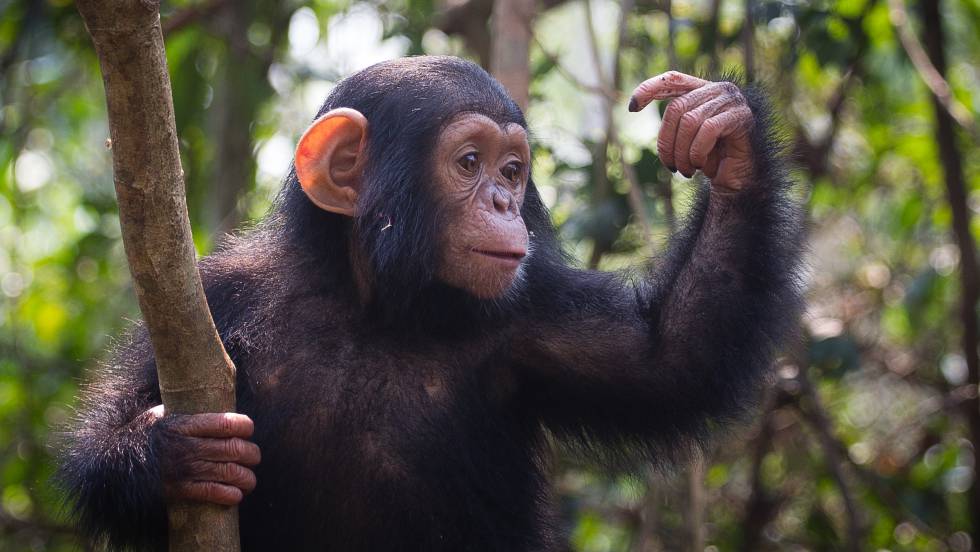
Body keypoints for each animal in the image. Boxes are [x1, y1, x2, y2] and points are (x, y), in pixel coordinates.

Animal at [57, 55, 800, 548]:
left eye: (512, 171)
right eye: (470, 163)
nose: (503, 203)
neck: (372, 305)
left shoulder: (532, 316)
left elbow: (671, 356)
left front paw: (726, 137)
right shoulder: (213, 300)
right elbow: (105, 433)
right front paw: (171, 453)